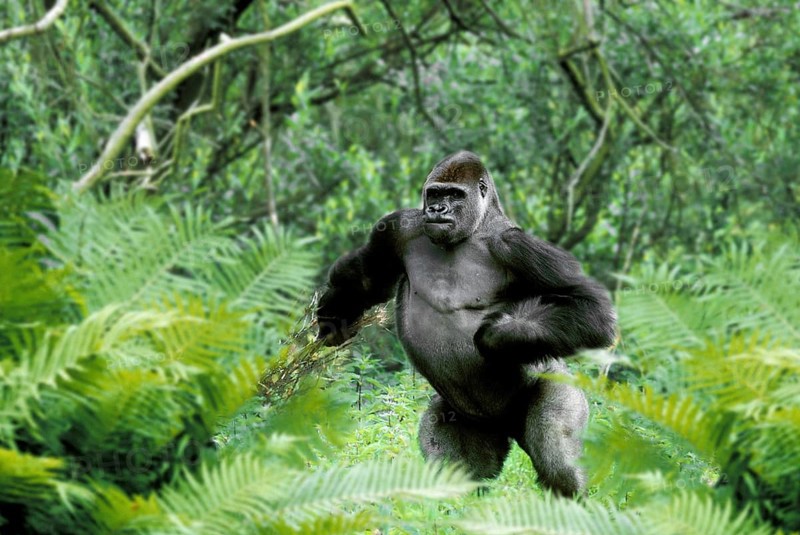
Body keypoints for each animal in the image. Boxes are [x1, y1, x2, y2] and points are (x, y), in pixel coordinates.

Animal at [317, 151, 616, 496]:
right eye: (435, 194)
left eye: (455, 195)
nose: (437, 209)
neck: (471, 230)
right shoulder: (397, 228)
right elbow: (367, 278)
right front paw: (334, 315)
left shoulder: (516, 246)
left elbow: (588, 304)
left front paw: (497, 336)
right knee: (459, 476)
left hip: (560, 385)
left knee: (558, 459)